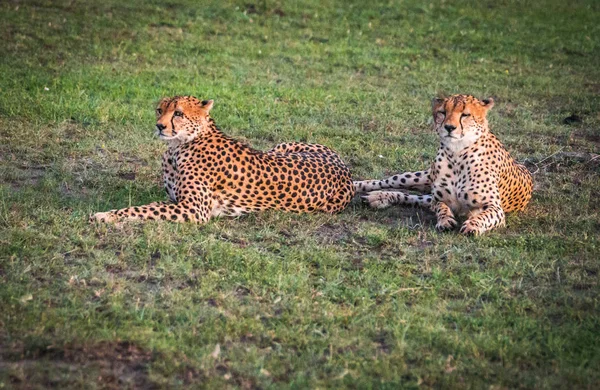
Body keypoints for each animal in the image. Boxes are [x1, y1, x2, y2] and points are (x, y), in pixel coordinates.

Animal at [91, 96, 354, 224]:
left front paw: (107, 215)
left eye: (178, 113)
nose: (159, 126)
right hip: (280, 146)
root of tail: (345, 169)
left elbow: (143, 209)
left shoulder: (193, 209)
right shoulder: (178, 201)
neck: (178, 147)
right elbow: (150, 206)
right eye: (159, 110)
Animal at [354, 94, 532, 235]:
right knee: (390, 182)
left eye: (465, 115)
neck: (457, 154)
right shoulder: (440, 198)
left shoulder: (496, 209)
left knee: (415, 197)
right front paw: (445, 220)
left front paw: (473, 226)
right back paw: (361, 188)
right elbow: (441, 207)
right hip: (418, 177)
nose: (449, 127)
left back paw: (378, 198)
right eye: (442, 112)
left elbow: (483, 216)